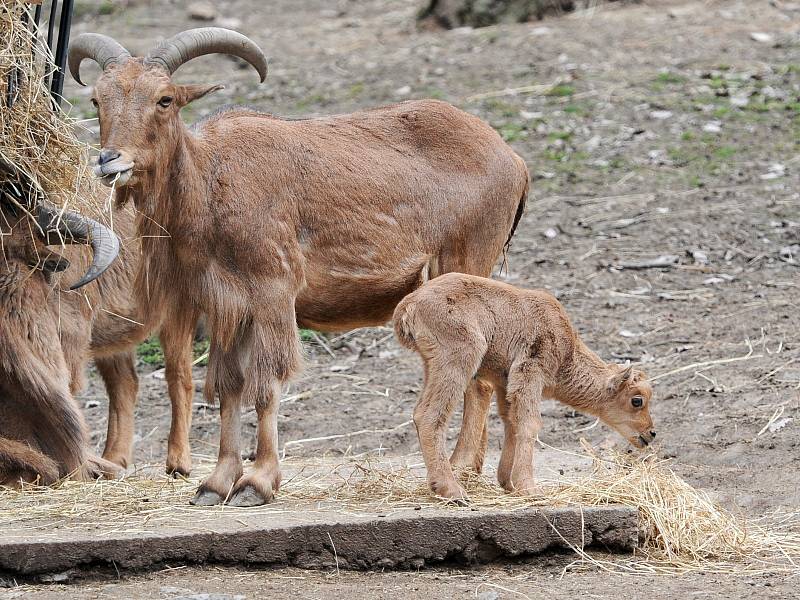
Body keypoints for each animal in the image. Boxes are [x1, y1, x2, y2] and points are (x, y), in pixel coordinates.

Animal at [70, 28, 532, 506]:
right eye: (98, 100)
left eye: (164, 99)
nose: (109, 160)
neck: (210, 180)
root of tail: (513, 160)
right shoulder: (226, 306)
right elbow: (228, 385)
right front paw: (216, 483)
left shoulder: (272, 291)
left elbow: (266, 383)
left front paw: (257, 483)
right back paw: (468, 469)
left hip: (465, 263)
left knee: (478, 378)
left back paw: (460, 468)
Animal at [396, 274, 656, 504]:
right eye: (637, 400)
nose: (650, 433)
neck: (568, 351)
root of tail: (409, 304)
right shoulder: (531, 374)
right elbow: (530, 424)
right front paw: (530, 490)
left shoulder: (505, 383)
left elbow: (512, 421)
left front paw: (509, 484)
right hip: (460, 358)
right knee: (430, 415)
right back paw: (453, 492)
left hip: (433, 365)